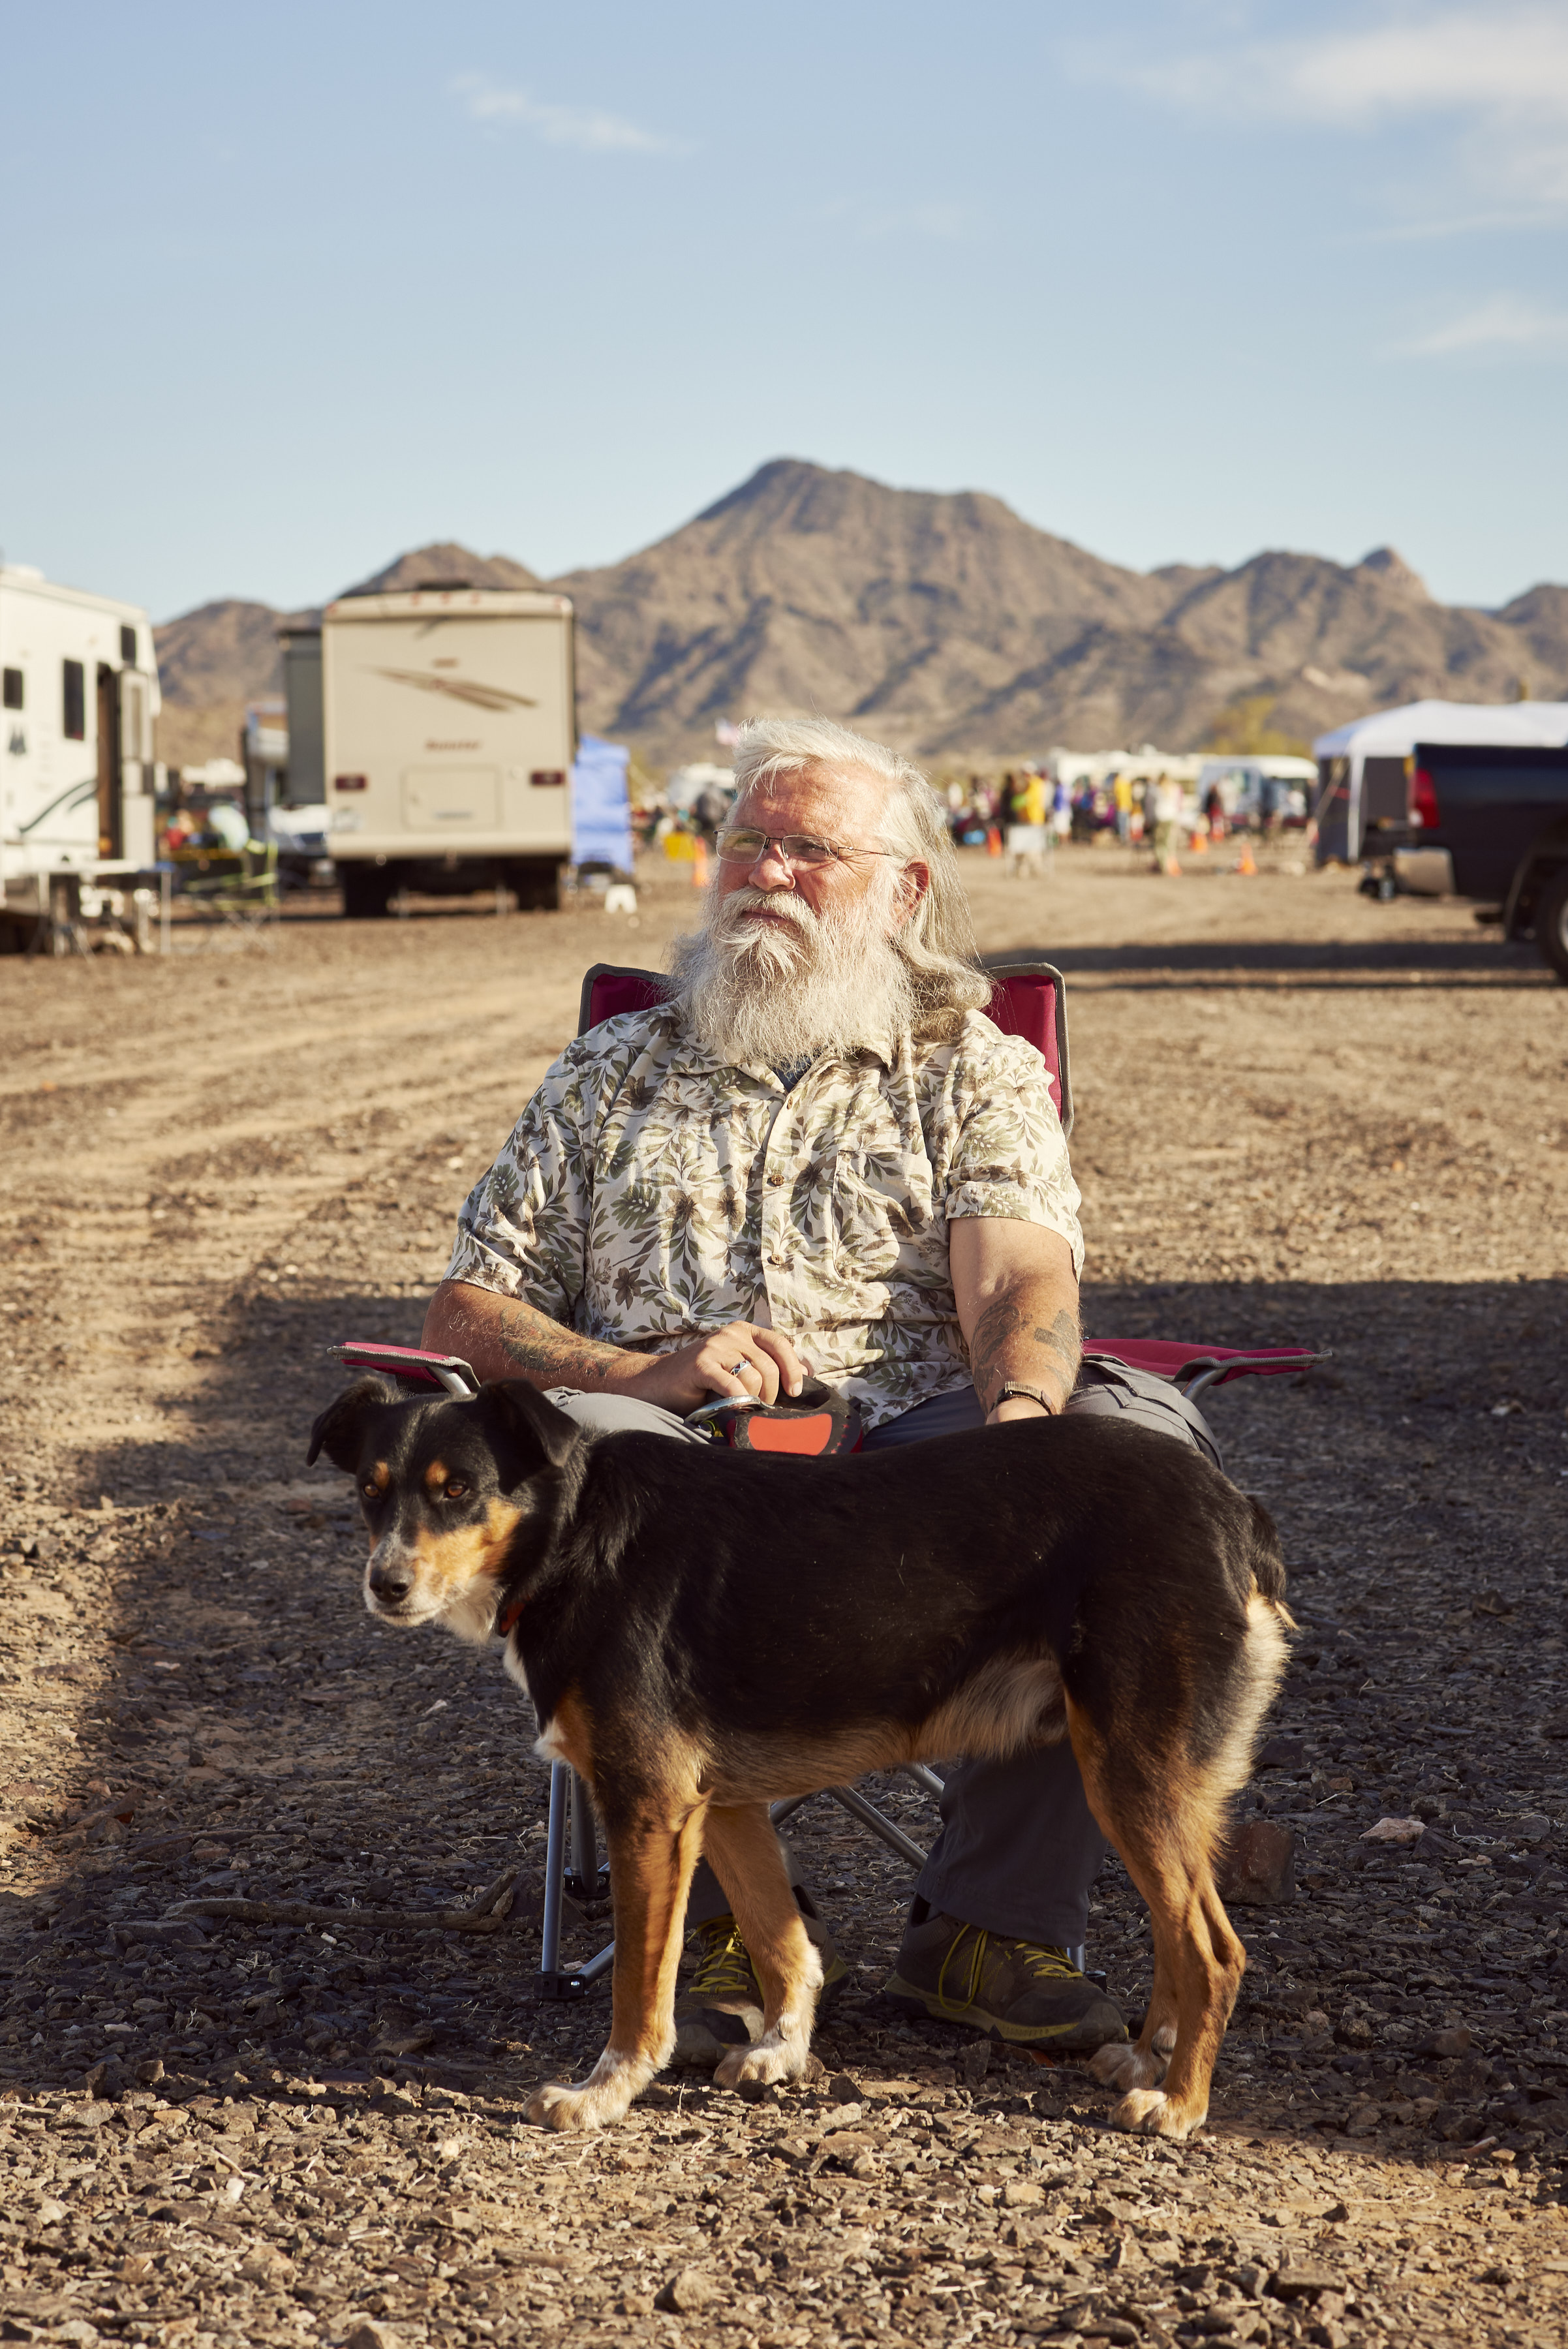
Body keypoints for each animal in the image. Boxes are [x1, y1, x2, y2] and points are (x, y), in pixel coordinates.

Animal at [305, 1372, 1286, 2142]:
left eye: (458, 1489)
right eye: (370, 1490)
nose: (385, 1586)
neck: (575, 1534)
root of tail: (1232, 1507)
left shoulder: (648, 1803)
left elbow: (638, 1984)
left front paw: (605, 2092)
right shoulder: (719, 1804)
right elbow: (781, 1941)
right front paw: (779, 2051)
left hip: (1127, 1769)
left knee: (1212, 1950)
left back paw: (1178, 2105)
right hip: (1148, 1780)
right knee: (1179, 1931)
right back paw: (1147, 2059)